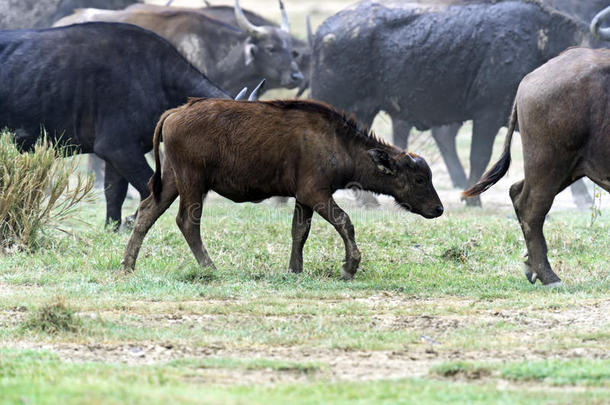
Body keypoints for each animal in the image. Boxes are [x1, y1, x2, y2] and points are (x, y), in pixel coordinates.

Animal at [0, 22, 248, 227]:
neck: (156, 76)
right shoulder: (118, 149)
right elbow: (147, 186)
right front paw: (131, 221)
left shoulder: (116, 155)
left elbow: (114, 192)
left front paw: (113, 226)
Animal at [120, 99, 442, 280]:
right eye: (419, 179)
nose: (438, 209)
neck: (337, 142)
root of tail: (177, 111)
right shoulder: (316, 194)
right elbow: (345, 222)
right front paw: (349, 267)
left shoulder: (304, 199)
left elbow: (299, 232)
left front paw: (294, 269)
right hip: (192, 183)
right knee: (187, 221)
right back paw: (209, 268)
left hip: (172, 182)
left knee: (146, 213)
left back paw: (128, 265)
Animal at [308, 0, 588, 205]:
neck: (539, 47)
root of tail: (322, 33)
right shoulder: (486, 116)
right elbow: (479, 157)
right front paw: (473, 200)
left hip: (364, 111)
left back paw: (368, 201)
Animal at [464, 46, 604, 284]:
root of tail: (528, 80)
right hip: (549, 163)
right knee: (530, 208)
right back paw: (548, 276)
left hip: (568, 168)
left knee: (516, 191)